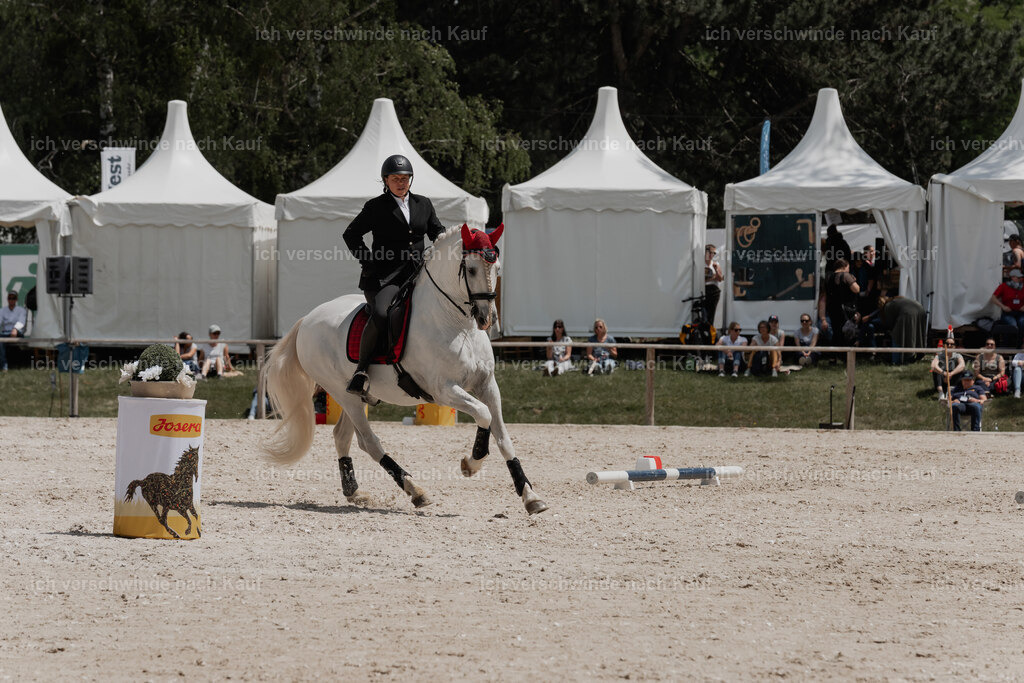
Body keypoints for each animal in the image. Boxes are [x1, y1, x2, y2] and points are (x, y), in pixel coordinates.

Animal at [262, 224, 548, 516]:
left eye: (497, 269)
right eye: (471, 270)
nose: (486, 318)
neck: (457, 325)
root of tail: (307, 319)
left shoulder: (487, 384)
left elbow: (503, 436)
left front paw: (530, 497)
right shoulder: (444, 390)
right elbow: (483, 414)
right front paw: (471, 463)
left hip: (355, 397)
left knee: (342, 437)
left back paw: (354, 492)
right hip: (344, 394)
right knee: (369, 442)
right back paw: (416, 490)